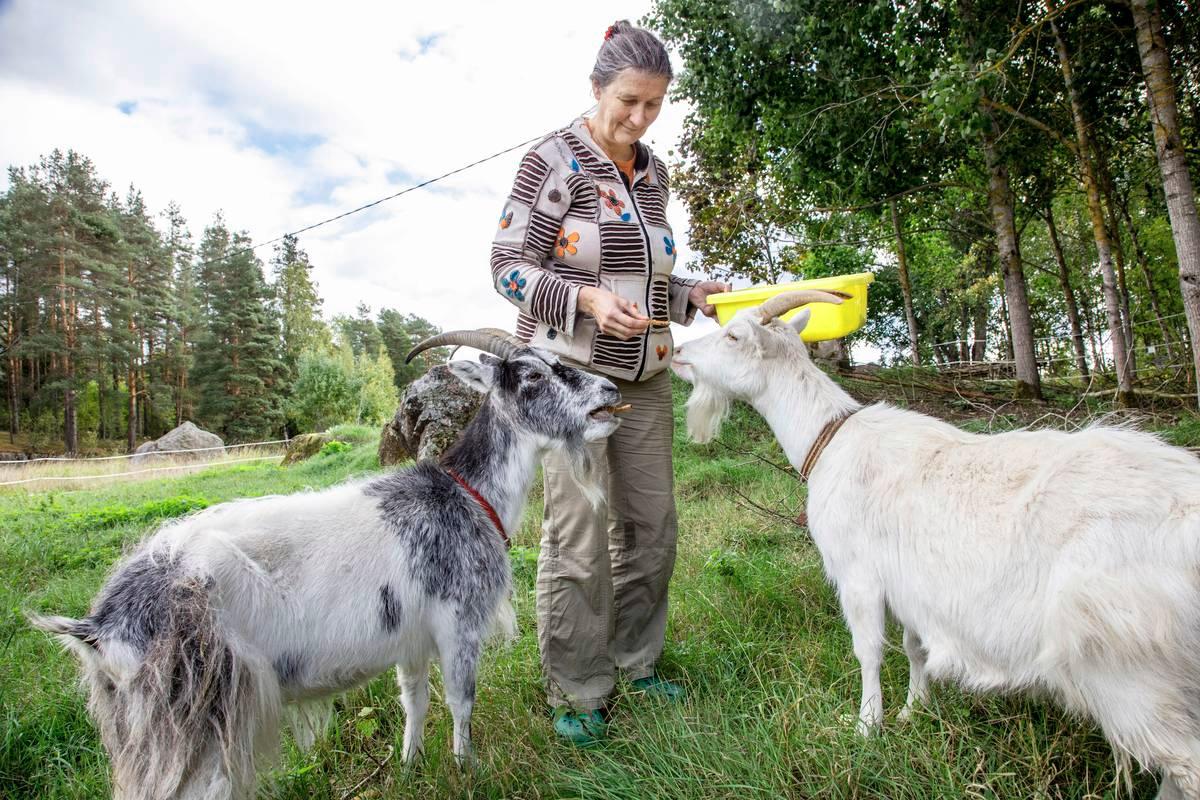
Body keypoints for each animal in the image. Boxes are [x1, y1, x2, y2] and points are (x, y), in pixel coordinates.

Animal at [32, 328, 624, 796]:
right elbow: (461, 701)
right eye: (532, 375)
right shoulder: (458, 623)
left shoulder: (411, 637)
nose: (612, 390)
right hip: (197, 720)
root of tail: (100, 628)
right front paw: (468, 770)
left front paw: (411, 766)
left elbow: (415, 701)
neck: (466, 495)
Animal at [672, 293, 1200, 800]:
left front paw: (866, 728)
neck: (830, 441)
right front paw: (914, 710)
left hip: (1134, 673)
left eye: (733, 335)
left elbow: (869, 651)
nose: (677, 353)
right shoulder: (908, 585)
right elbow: (915, 647)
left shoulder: (859, 574)